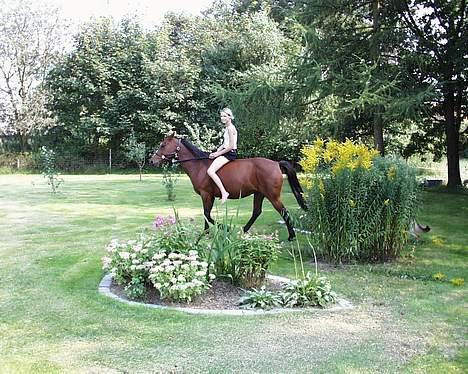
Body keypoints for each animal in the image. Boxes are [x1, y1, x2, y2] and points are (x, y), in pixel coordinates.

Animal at [150, 134, 308, 240]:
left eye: (163, 145)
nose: (152, 161)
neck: (199, 164)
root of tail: (276, 164)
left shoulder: (206, 194)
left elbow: (206, 214)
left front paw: (222, 229)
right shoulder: (210, 196)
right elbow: (207, 214)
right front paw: (209, 232)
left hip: (272, 196)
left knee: (283, 211)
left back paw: (292, 236)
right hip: (259, 194)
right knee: (257, 212)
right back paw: (243, 230)